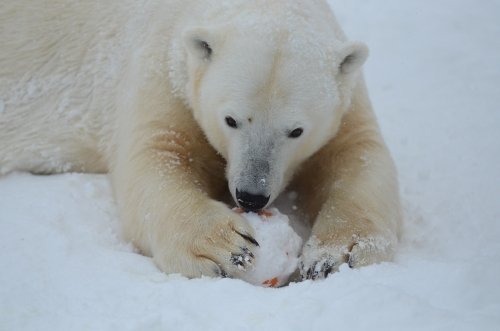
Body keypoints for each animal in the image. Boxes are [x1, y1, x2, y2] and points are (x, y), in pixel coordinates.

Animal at [0, 0, 400, 282]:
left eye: (296, 130)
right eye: (231, 119)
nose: (251, 195)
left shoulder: (346, 97)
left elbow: (358, 155)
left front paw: (339, 254)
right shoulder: (163, 69)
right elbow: (157, 157)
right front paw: (226, 247)